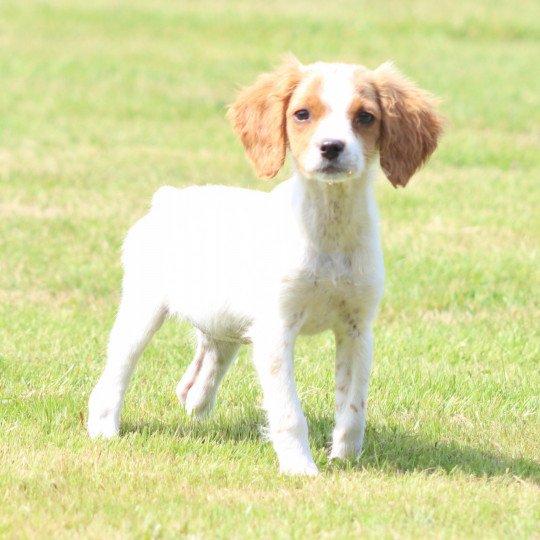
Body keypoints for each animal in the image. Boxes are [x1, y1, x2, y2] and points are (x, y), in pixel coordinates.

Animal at [87, 57, 442, 474]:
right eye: (302, 114)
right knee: (115, 374)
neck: (329, 228)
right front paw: (300, 469)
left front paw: (345, 459)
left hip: (224, 320)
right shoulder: (277, 329)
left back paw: (195, 401)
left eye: (365, 117)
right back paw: (104, 428)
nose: (331, 147)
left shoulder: (357, 329)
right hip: (142, 309)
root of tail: (168, 198)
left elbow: (353, 408)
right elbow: (288, 411)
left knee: (202, 366)